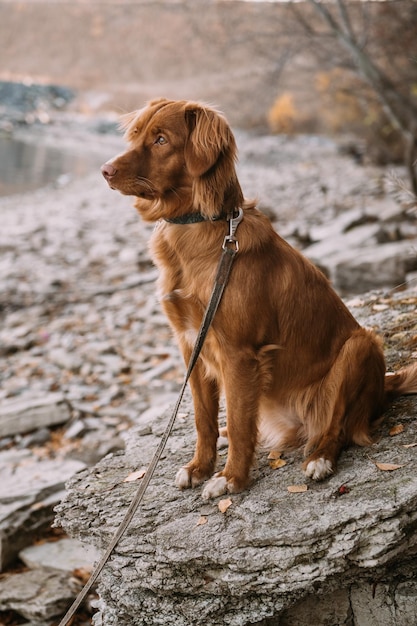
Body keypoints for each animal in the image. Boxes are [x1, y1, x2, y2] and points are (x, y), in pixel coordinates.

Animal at [101, 97, 416, 498]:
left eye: (161, 140)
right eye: (138, 133)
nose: (105, 170)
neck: (200, 229)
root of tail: (383, 388)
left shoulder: (239, 353)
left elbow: (238, 423)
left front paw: (231, 478)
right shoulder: (190, 344)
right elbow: (204, 418)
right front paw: (199, 467)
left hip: (361, 346)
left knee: (338, 427)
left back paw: (320, 459)